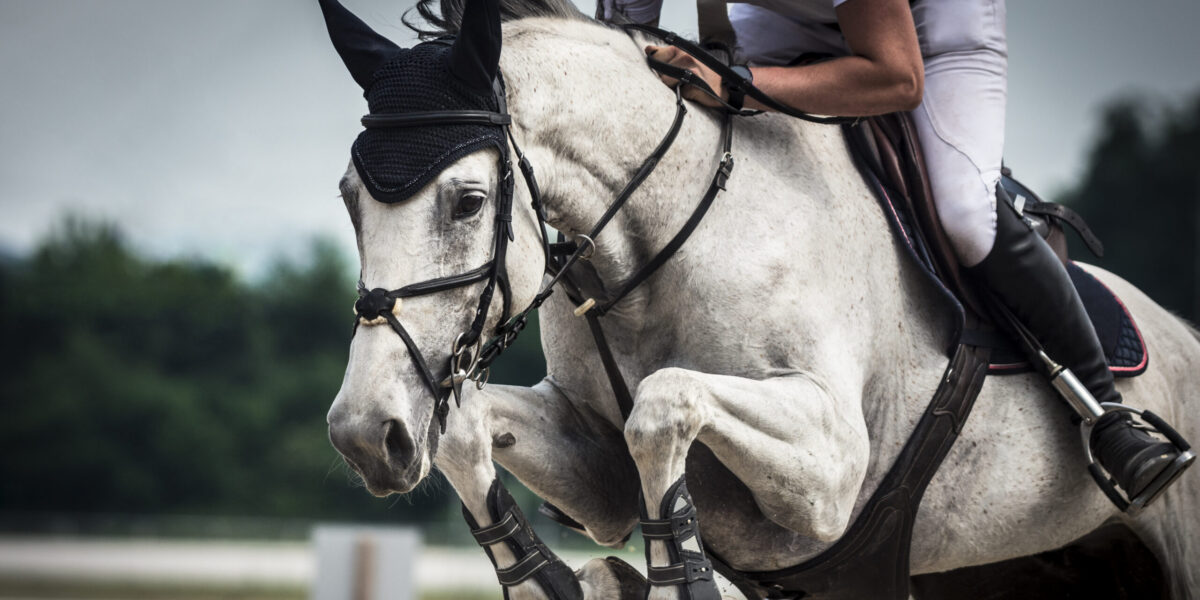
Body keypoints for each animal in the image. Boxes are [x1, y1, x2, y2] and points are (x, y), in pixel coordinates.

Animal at [316, 0, 1200, 597]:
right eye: (350, 198)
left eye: (467, 202)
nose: (365, 437)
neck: (659, 247)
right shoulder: (597, 476)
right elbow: (466, 433)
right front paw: (553, 578)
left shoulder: (832, 469)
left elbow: (663, 402)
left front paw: (678, 580)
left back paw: (1134, 446)